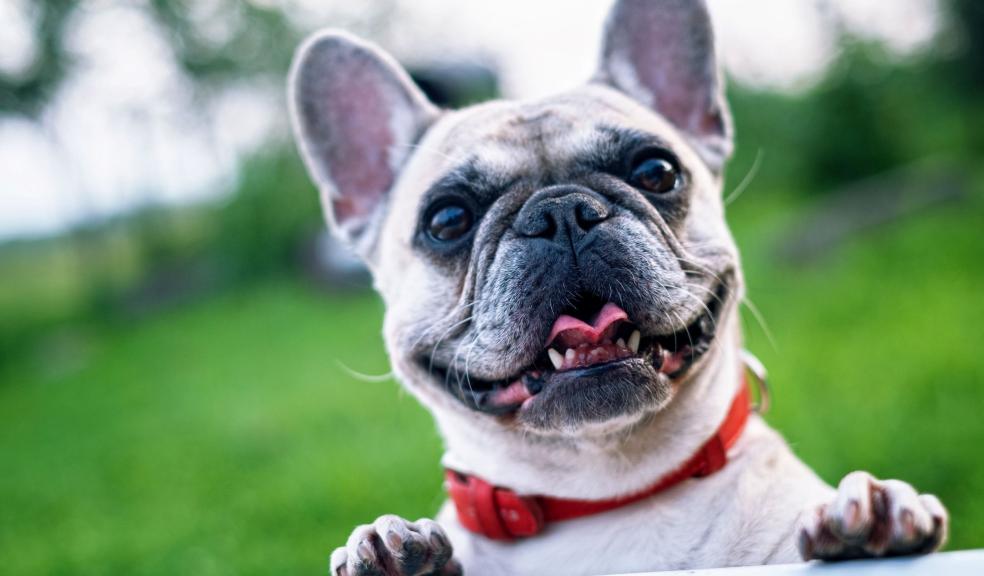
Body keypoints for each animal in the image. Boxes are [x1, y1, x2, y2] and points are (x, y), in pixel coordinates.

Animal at [288, 2, 948, 572]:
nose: (559, 212)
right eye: (447, 219)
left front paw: (875, 518)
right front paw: (390, 555)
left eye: (656, 171)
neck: (603, 495)